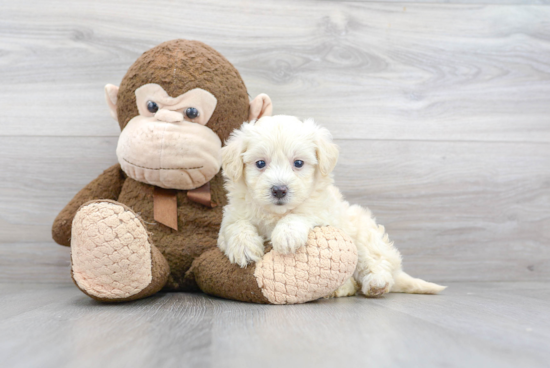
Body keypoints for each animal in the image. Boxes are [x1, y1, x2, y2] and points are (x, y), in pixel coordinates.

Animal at [218, 115, 446, 296]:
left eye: (298, 163)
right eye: (260, 163)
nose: (279, 190)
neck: (276, 213)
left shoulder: (323, 212)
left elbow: (301, 213)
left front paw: (287, 235)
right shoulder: (232, 215)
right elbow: (236, 225)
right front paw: (244, 248)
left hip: (364, 236)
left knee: (376, 264)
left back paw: (375, 284)